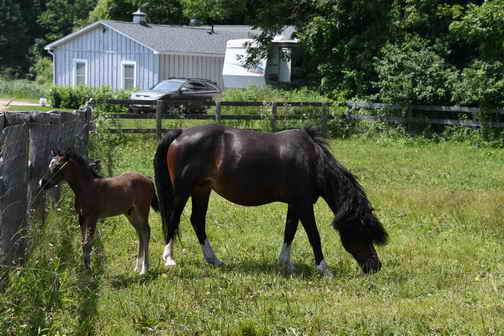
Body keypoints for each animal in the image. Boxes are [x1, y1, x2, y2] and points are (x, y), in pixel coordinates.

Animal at [154, 123, 390, 276]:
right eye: (363, 232)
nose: (375, 267)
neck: (313, 162)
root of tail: (180, 133)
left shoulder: (295, 204)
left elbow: (289, 231)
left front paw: (285, 264)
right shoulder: (304, 205)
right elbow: (314, 236)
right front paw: (324, 269)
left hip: (202, 189)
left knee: (197, 220)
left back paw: (214, 259)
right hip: (183, 190)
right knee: (173, 219)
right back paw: (169, 259)